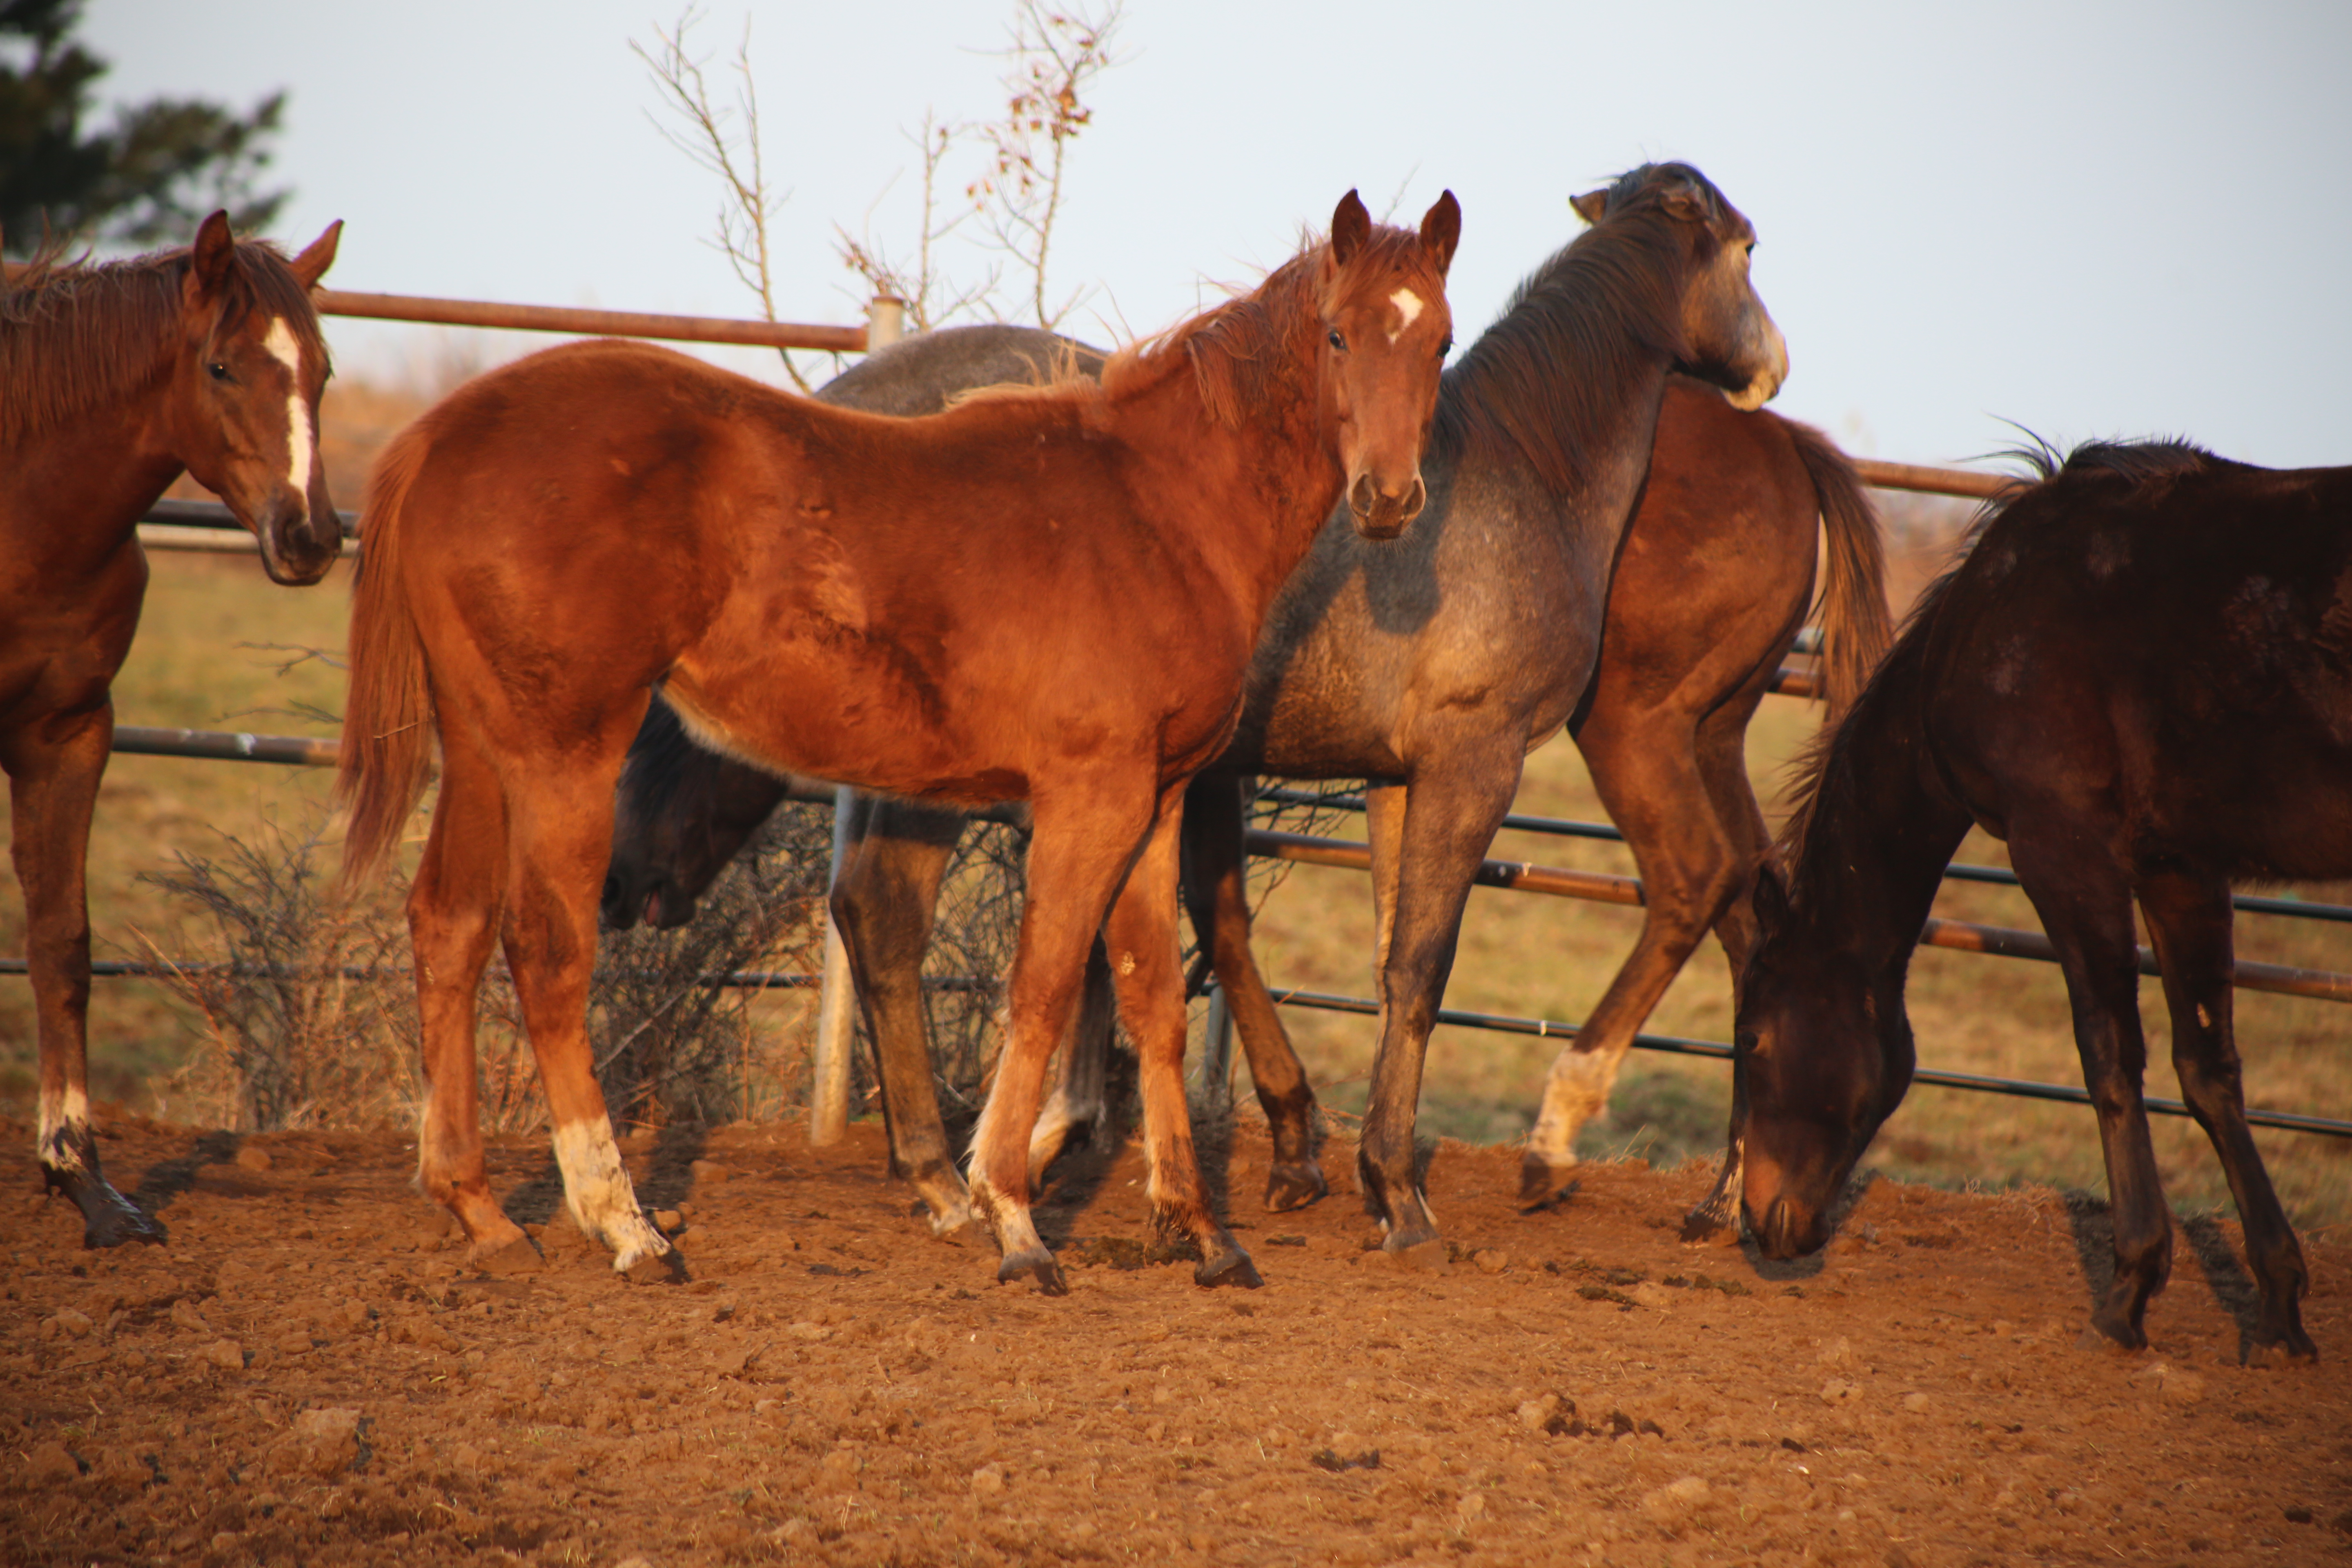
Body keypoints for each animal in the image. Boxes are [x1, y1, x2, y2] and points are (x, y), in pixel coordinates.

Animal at [1, 215, 341, 1250]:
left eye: (322, 369)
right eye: (221, 366)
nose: (311, 537)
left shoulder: (68, 732)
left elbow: (63, 942)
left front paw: (84, 1180)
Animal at [341, 190, 1458, 1297]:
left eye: (1440, 340)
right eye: (1336, 333)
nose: (1387, 498)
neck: (1158, 509)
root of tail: (436, 436)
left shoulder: (1160, 793)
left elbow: (1152, 998)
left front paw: (1198, 1229)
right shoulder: (1088, 793)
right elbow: (1044, 984)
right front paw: (1012, 1216)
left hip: (482, 749)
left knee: (449, 924)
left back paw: (480, 1208)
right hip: (562, 748)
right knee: (547, 949)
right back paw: (625, 1225)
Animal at [1712, 439, 2352, 1363]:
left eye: (1751, 1039)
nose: (1764, 1222)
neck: (1991, 624)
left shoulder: (2062, 847)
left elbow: (2110, 1055)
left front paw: (2130, 1290)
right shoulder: (2180, 865)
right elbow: (2210, 1071)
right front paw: (2278, 1305)